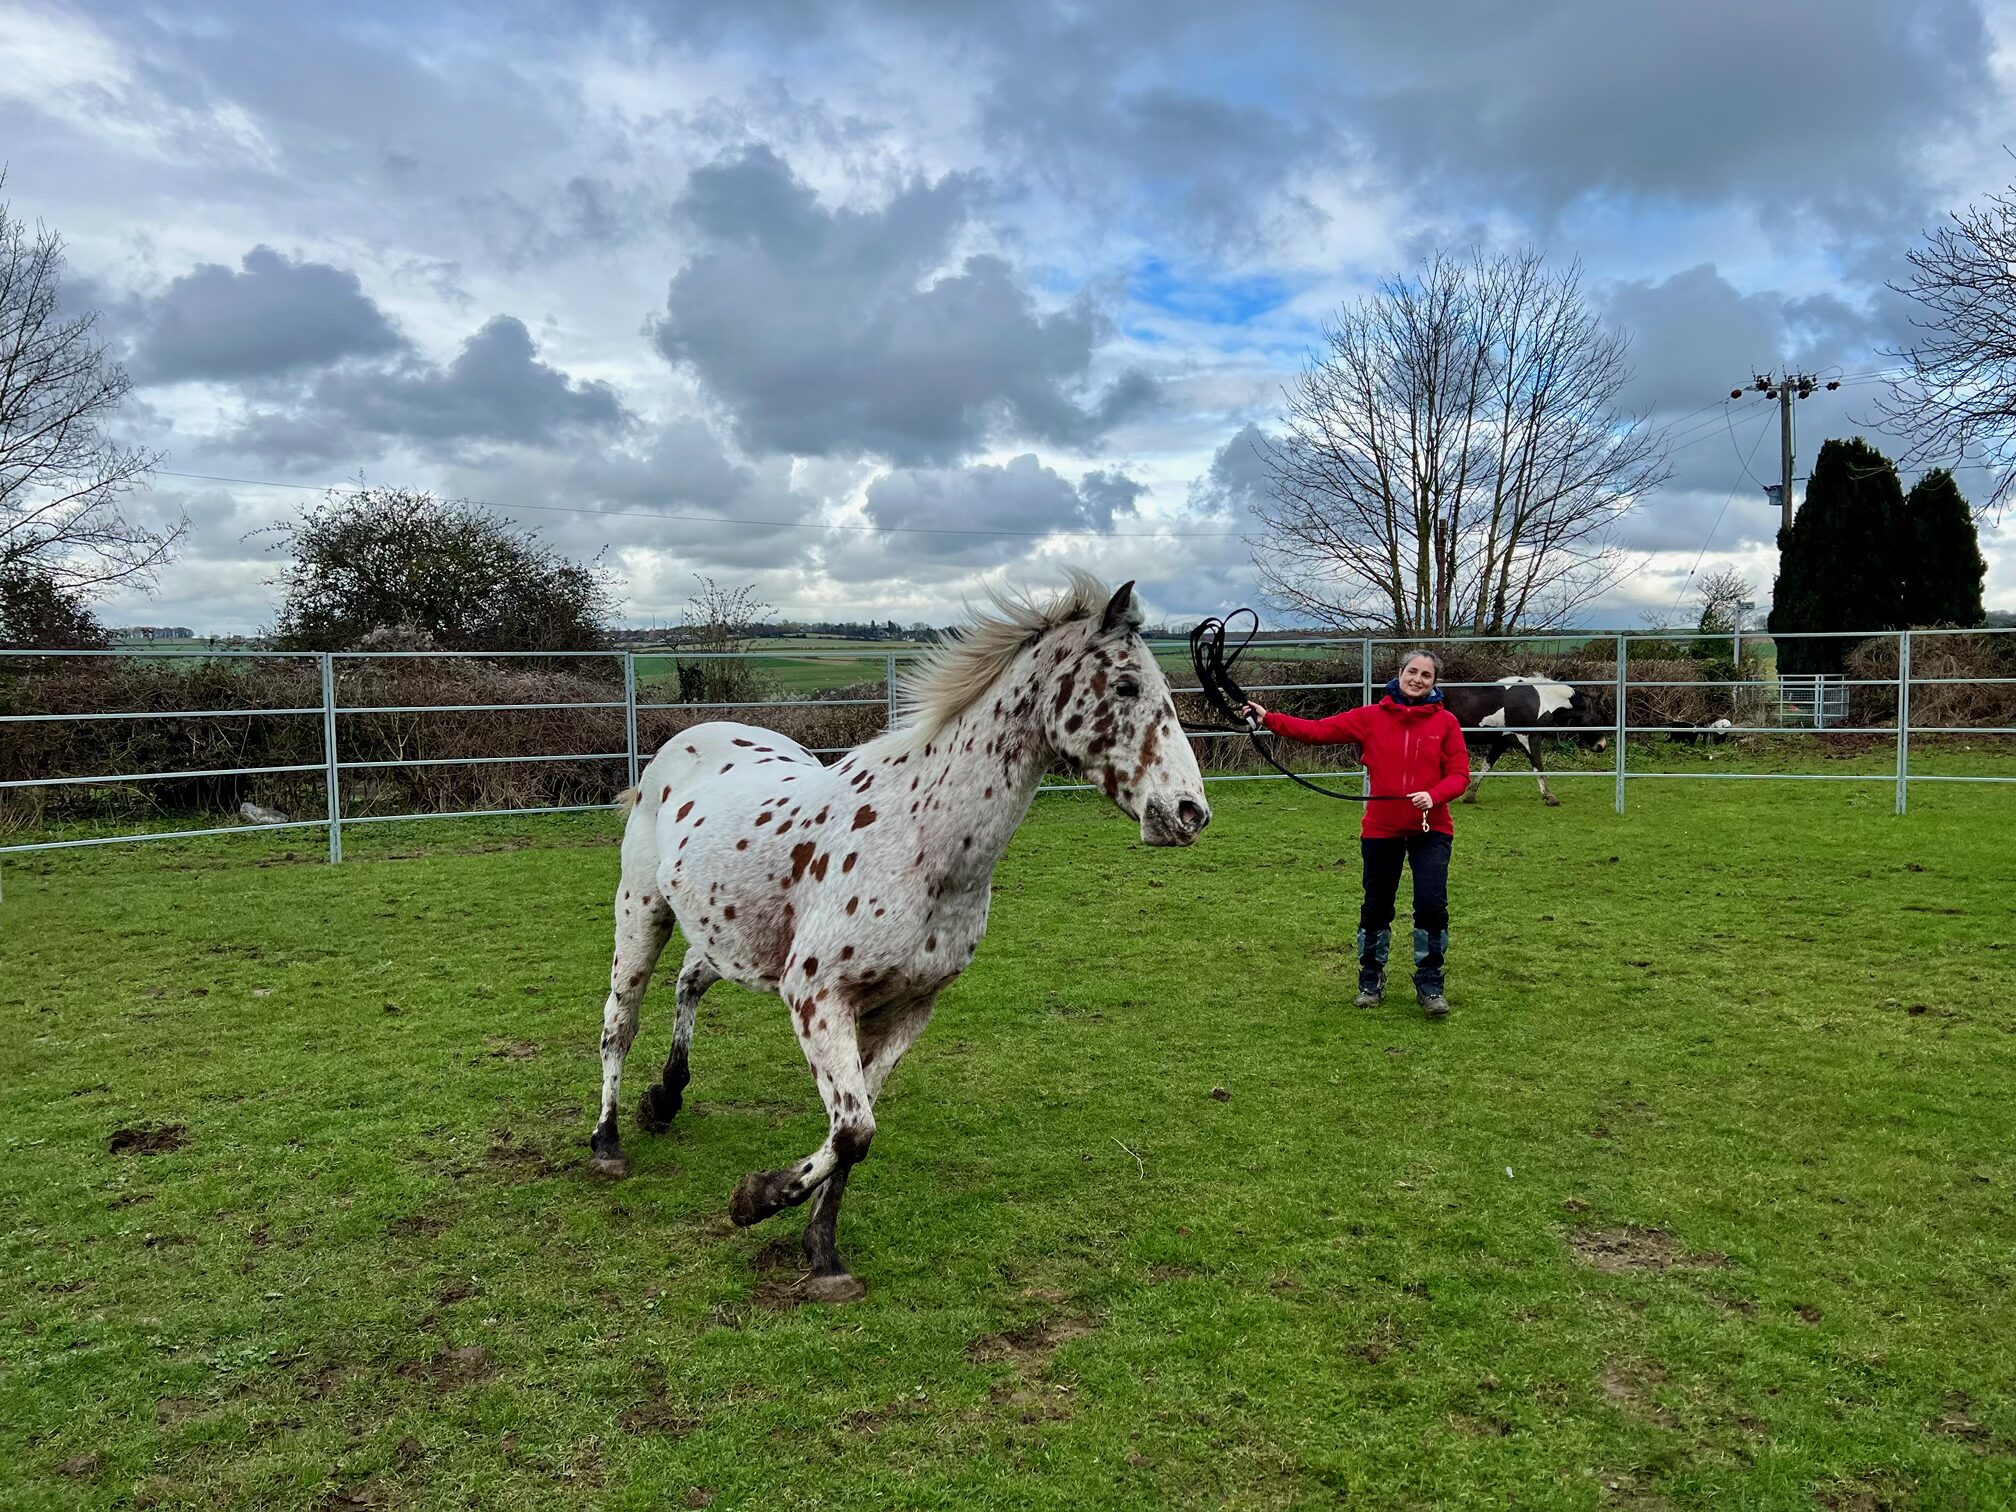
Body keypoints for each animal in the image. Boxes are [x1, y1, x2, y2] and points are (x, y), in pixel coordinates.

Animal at [586, 573, 1210, 1301]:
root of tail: (688, 740)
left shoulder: (906, 1010)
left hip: (731, 933)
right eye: (1127, 686)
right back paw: (608, 1143)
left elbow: (853, 1136)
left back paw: (666, 1097)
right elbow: (854, 1130)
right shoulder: (816, 997)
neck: (917, 841)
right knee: (620, 1021)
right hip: (642, 911)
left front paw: (822, 1255)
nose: (1189, 812)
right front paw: (754, 1201)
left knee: (689, 980)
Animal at [1441, 676, 1610, 807]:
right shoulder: (1529, 738)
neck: (1541, 700)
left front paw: (1470, 795)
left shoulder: (1502, 742)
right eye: (1594, 718)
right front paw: (1550, 797)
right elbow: (1538, 765)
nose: (1602, 745)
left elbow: (1487, 765)